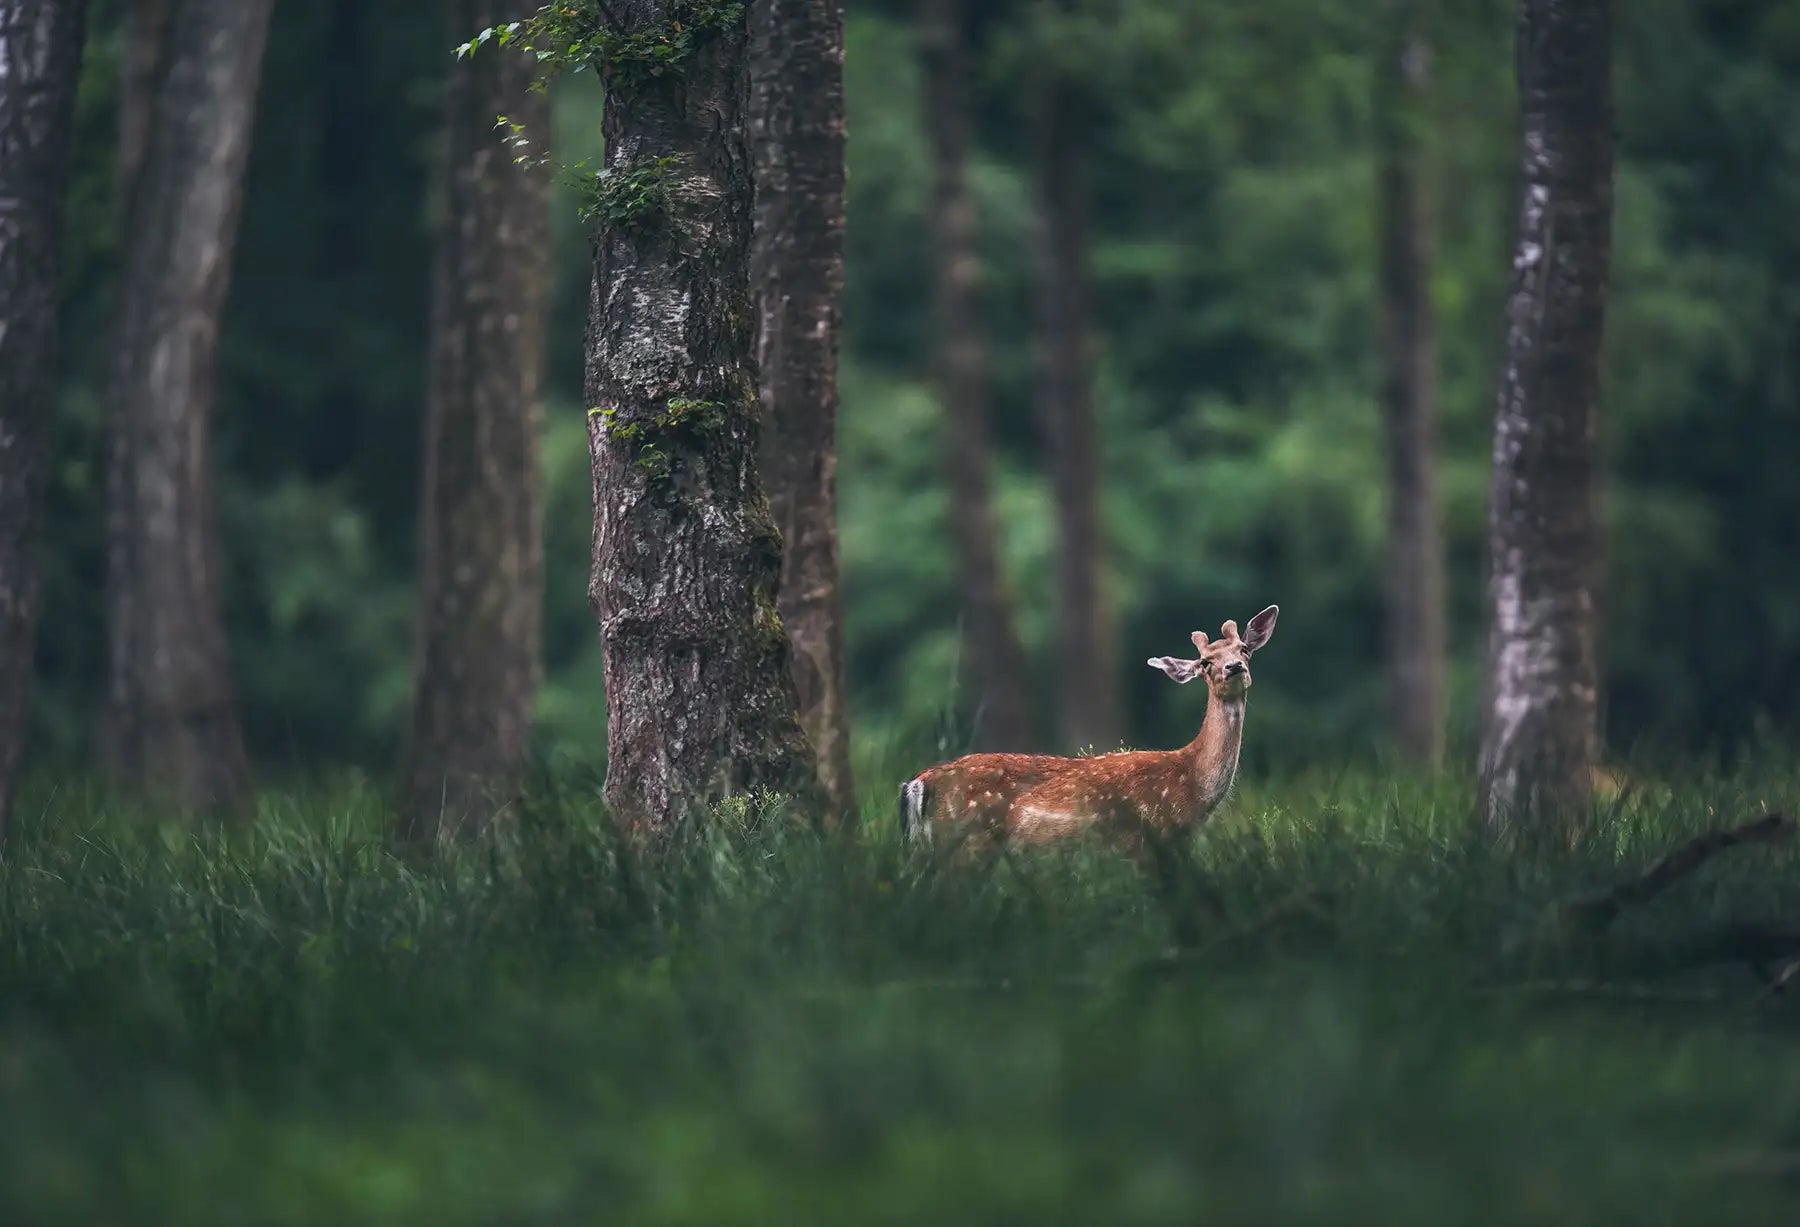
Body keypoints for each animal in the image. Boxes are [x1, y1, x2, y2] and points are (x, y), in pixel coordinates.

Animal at [899, 605, 1278, 850]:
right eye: (1204, 661)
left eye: (1244, 648)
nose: (1233, 667)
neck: (1190, 785)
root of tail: (918, 783)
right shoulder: (1145, 840)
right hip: (965, 841)